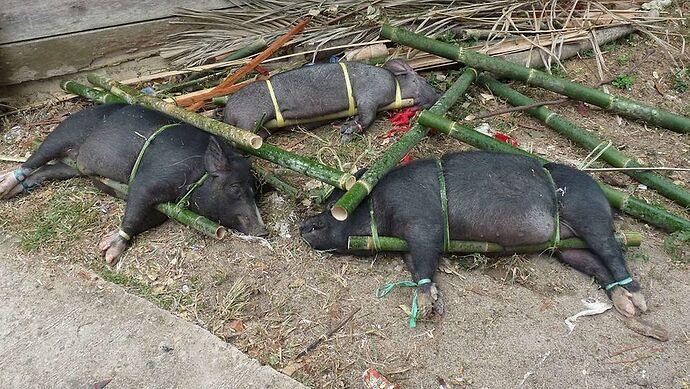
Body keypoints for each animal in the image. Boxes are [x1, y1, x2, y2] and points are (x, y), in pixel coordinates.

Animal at [0, 103, 264, 262]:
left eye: (255, 192)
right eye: (234, 188)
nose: (263, 230)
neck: (196, 173)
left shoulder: (162, 209)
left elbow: (145, 220)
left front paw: (105, 248)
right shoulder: (149, 181)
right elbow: (135, 208)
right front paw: (108, 254)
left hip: (71, 168)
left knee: (46, 170)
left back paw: (15, 190)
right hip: (64, 132)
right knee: (35, 159)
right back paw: (4, 187)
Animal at [223, 59, 444, 141]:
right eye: (424, 81)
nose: (440, 94)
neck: (396, 87)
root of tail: (226, 113)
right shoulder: (369, 95)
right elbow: (367, 116)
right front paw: (347, 131)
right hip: (249, 119)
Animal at [300, 152, 644, 318]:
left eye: (333, 207)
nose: (302, 225)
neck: (380, 206)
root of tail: (602, 192)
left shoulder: (423, 222)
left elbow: (425, 256)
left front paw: (424, 306)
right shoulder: (408, 241)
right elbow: (415, 265)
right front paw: (434, 303)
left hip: (589, 213)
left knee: (611, 250)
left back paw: (638, 301)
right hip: (565, 245)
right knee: (595, 264)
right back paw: (625, 306)